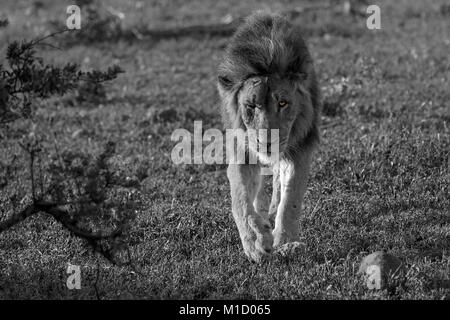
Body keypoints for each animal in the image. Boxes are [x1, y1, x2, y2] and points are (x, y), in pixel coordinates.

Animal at [217, 11, 320, 262]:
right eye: (251, 105)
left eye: (282, 103)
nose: (266, 143)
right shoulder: (241, 150)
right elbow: (240, 200)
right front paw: (255, 241)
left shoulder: (300, 149)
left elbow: (291, 200)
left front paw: (284, 240)